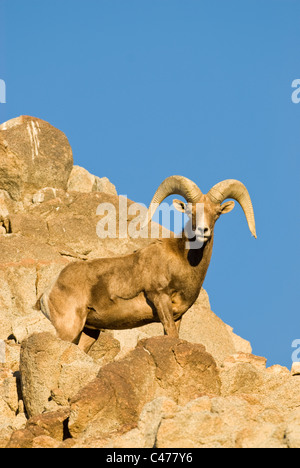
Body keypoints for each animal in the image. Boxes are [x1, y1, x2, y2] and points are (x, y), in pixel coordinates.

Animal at [39, 176, 255, 352]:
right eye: (190, 211)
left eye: (217, 213)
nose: (203, 231)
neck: (183, 263)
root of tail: (49, 291)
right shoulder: (160, 299)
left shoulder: (178, 315)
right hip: (69, 329)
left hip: (89, 333)